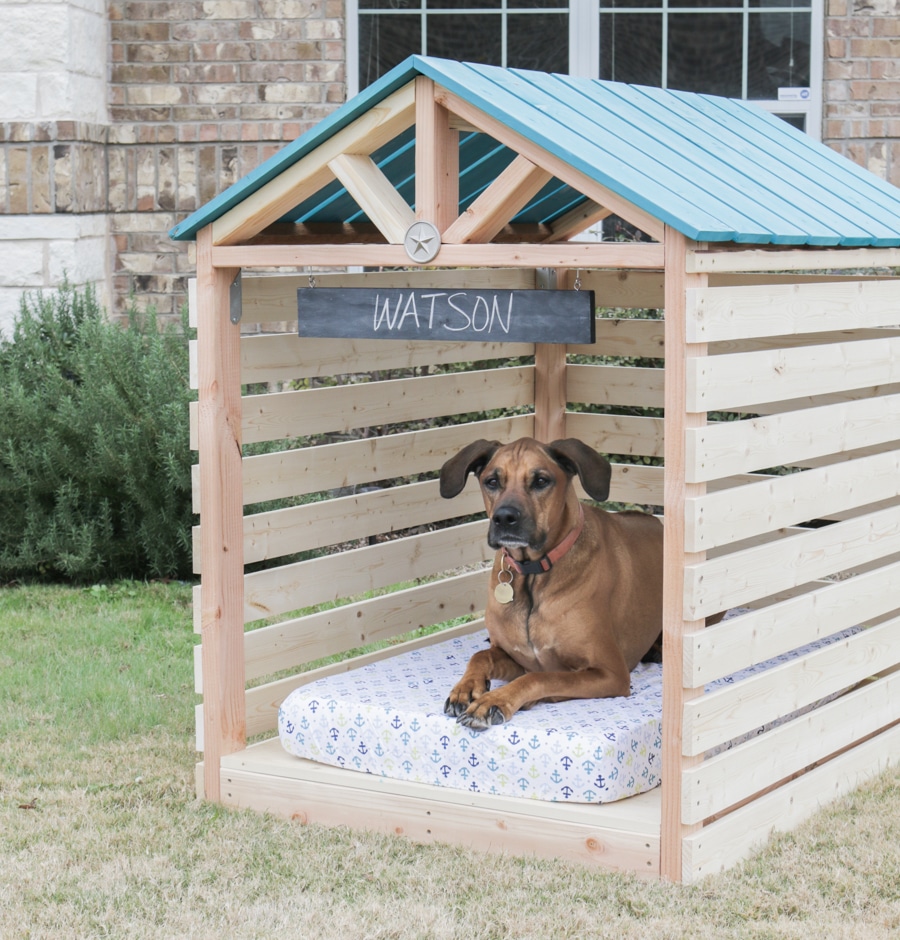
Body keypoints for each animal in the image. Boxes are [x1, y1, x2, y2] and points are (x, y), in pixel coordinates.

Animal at [440, 436, 664, 732]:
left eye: (540, 481)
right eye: (492, 481)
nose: (504, 518)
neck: (532, 574)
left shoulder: (610, 673)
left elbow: (542, 678)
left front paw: (495, 700)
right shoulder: (516, 657)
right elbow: (481, 655)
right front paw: (465, 688)